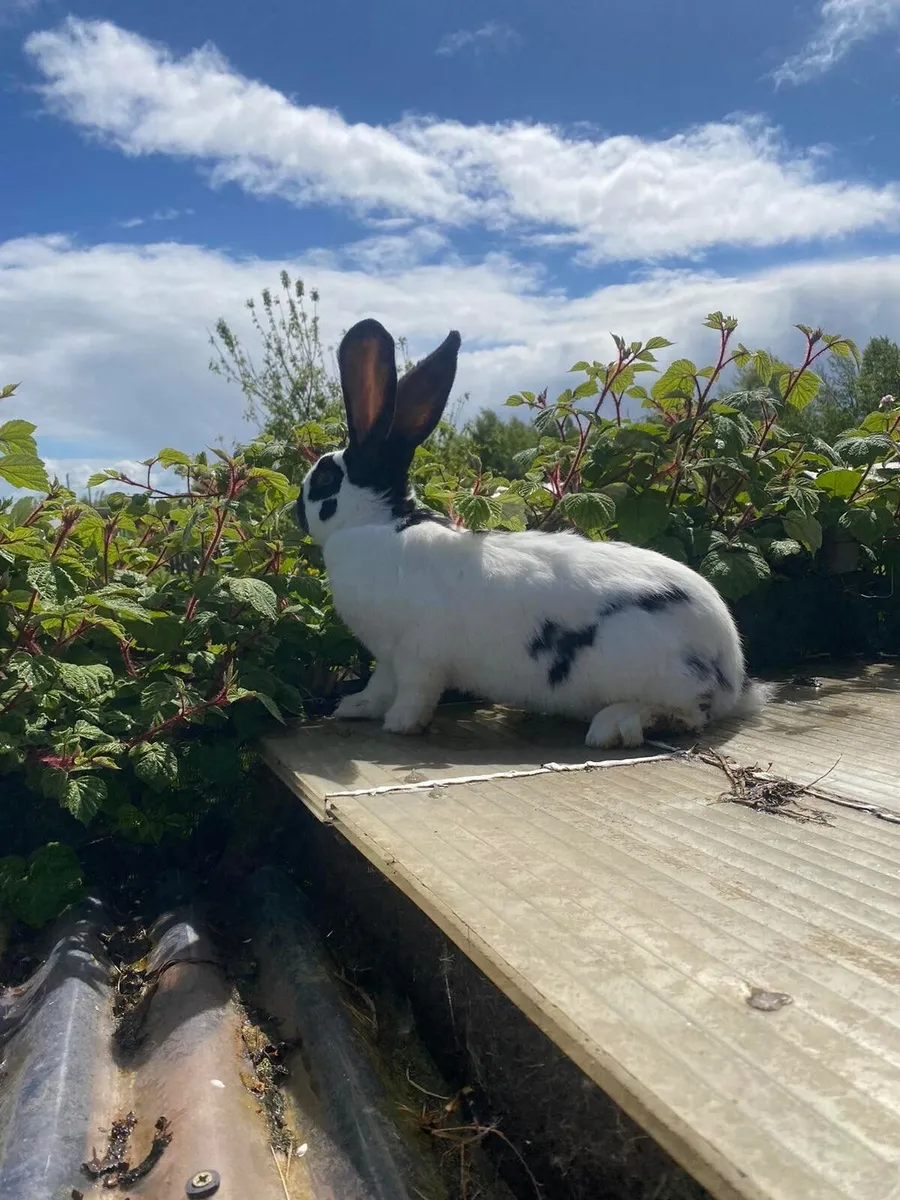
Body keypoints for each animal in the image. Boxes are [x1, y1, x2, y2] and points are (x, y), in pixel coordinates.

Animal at [296, 318, 773, 748]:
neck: (375, 523)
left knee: (688, 715)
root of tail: (731, 672)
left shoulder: (418, 654)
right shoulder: (388, 657)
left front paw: (399, 725)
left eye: (324, 479)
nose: (296, 513)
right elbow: (379, 687)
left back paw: (613, 727)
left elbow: (414, 695)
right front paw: (354, 708)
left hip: (661, 675)